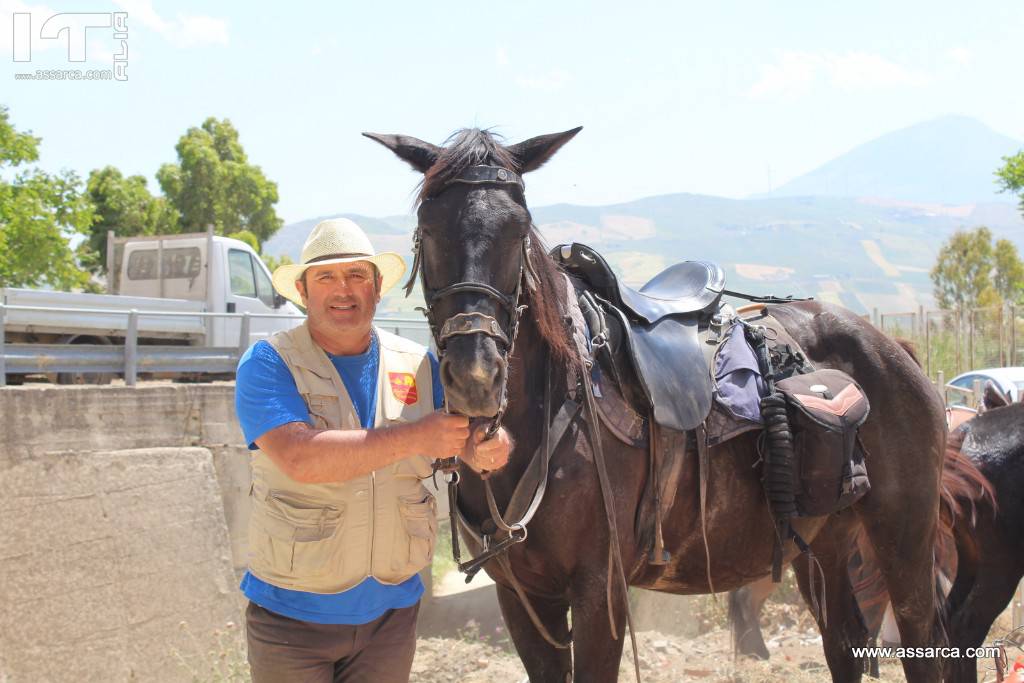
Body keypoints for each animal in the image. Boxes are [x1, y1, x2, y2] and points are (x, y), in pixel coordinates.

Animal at [364, 127, 946, 683]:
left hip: (905, 538)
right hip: (825, 544)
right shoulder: (523, 598)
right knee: (844, 644)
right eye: (428, 226)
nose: (477, 377)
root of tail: (892, 347)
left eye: (519, 229)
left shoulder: (600, 593)